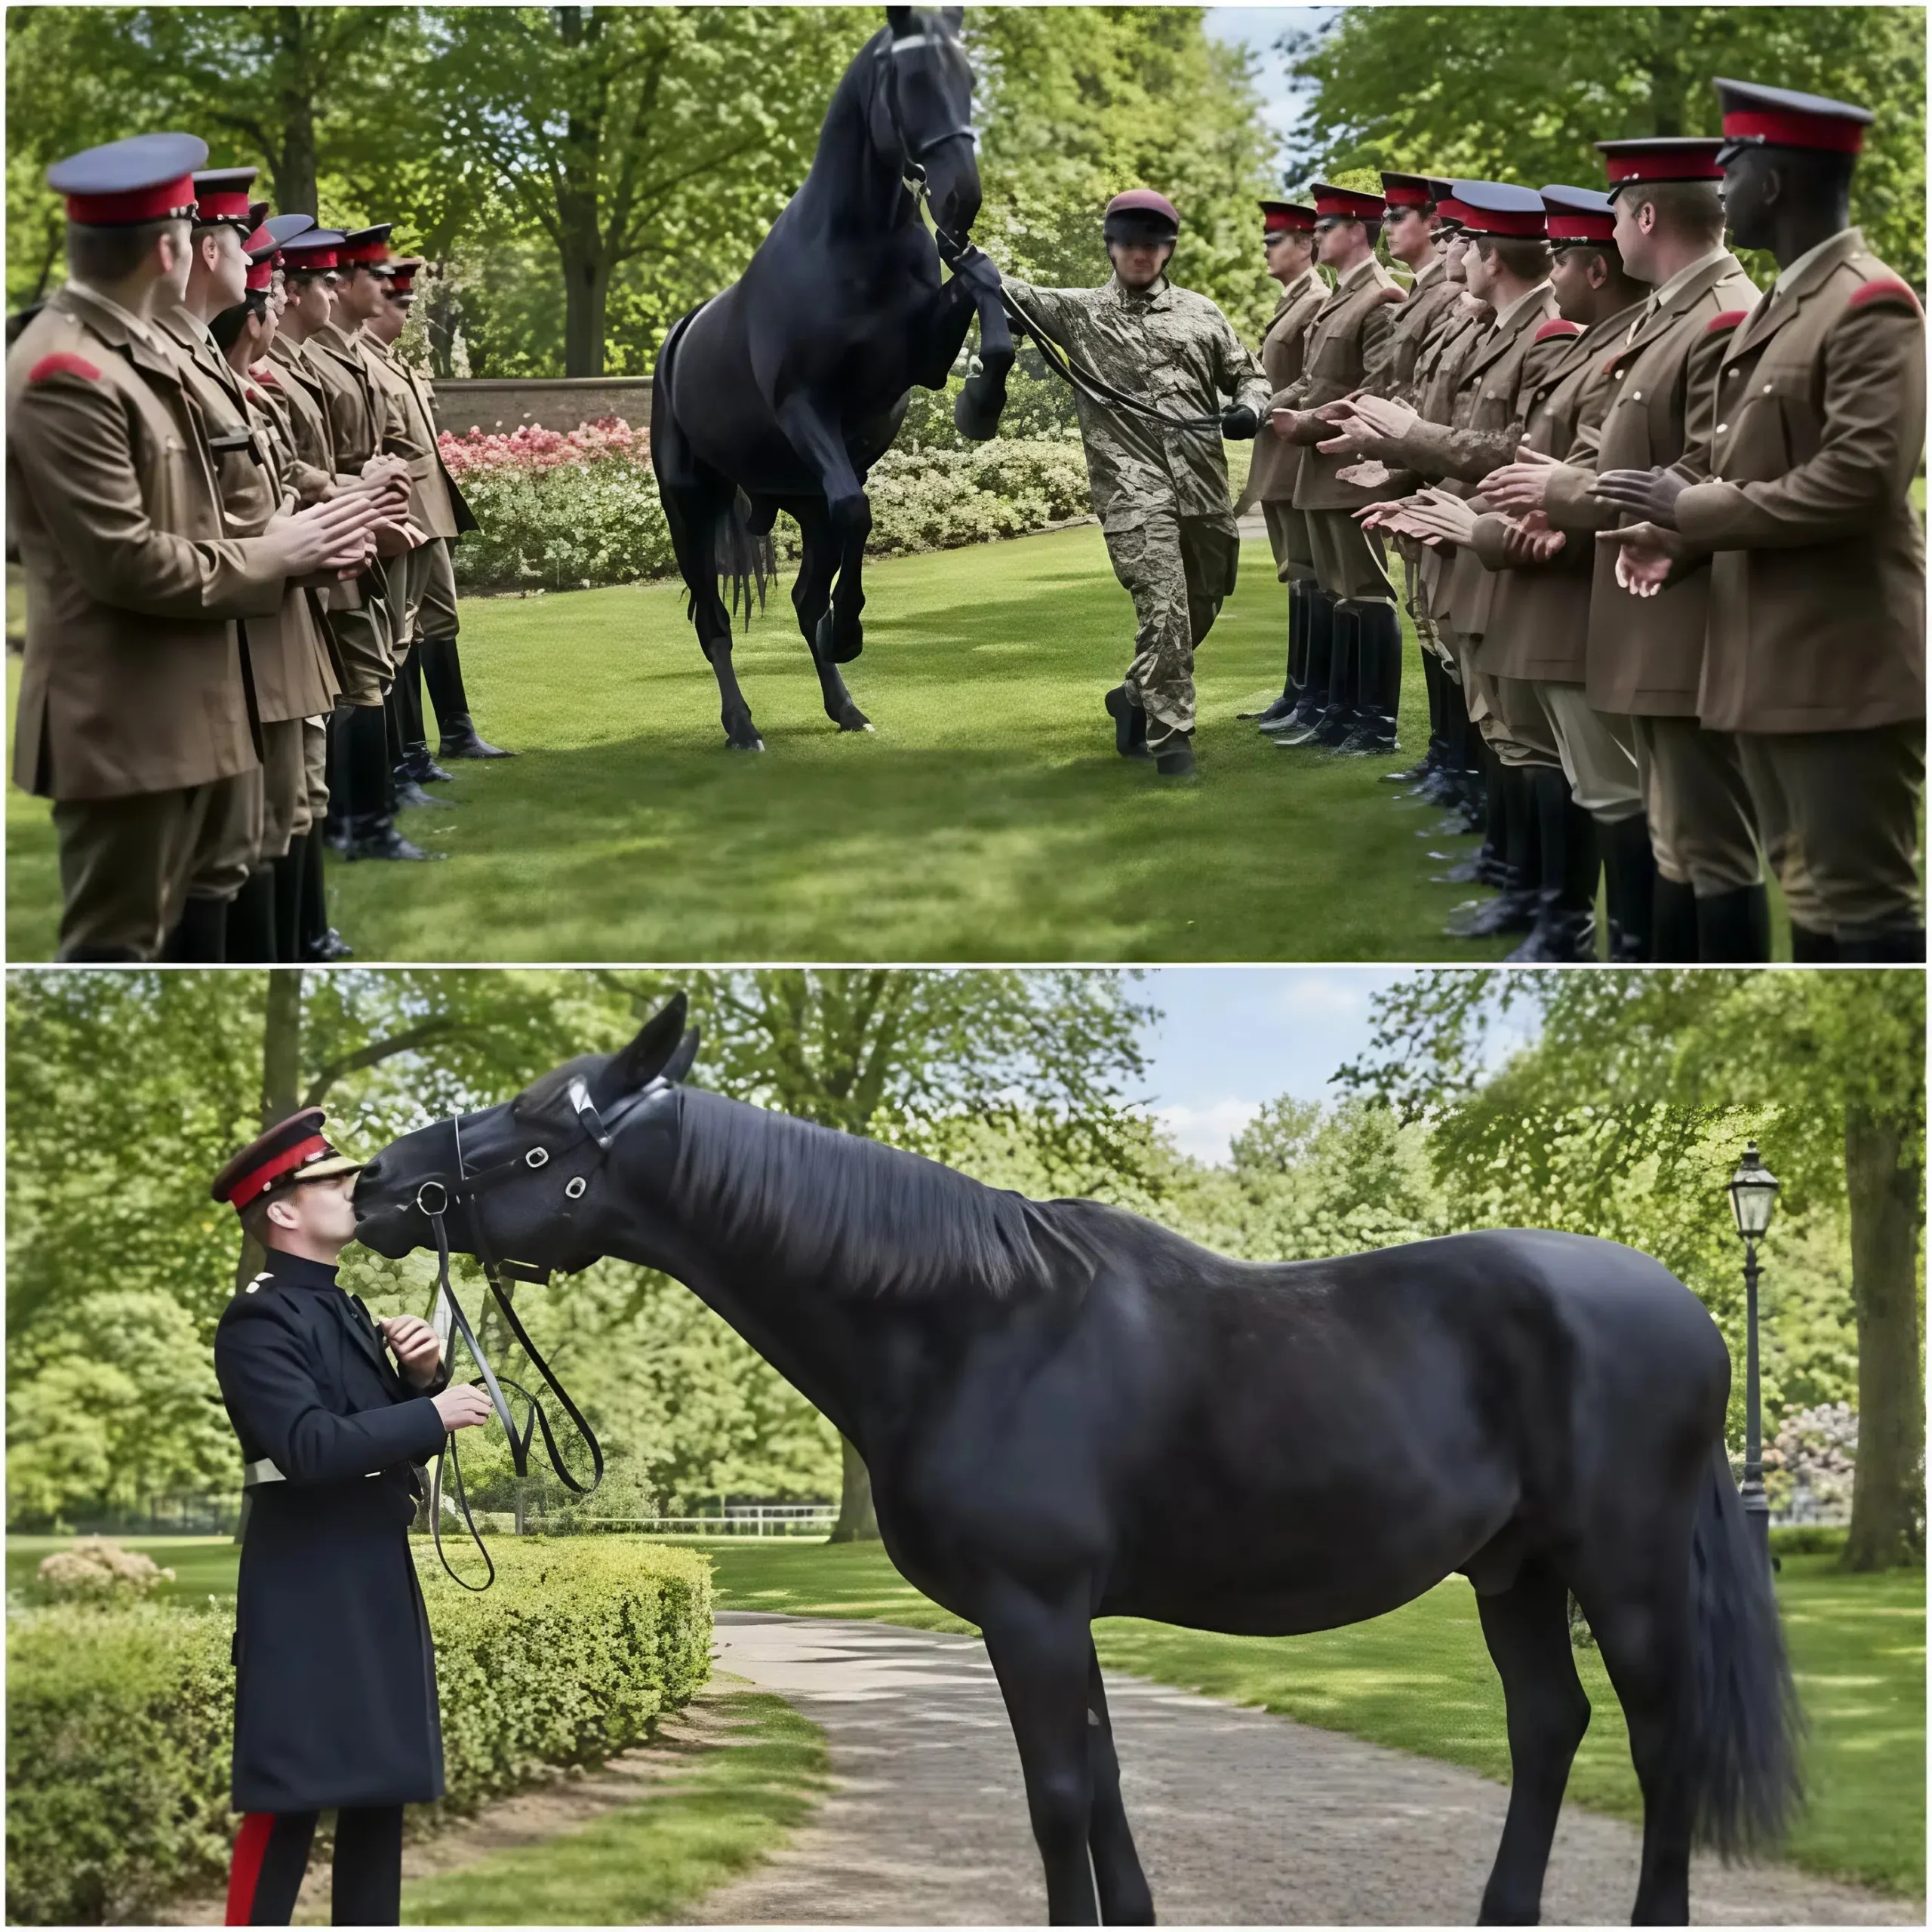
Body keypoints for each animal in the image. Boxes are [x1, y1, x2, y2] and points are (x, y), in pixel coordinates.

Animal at [354, 995, 1802, 1927]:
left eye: (535, 1140)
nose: (374, 1183)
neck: (975, 1327)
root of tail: (1682, 1306)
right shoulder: (1066, 1619)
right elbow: (1104, 1792)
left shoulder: (1033, 1610)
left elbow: (1057, 1798)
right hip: (1514, 1573)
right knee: (1549, 1727)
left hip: (1625, 1569)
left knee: (1661, 1745)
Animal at [650, 6, 1015, 752]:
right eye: (909, 81)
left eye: (968, 79)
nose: (960, 198)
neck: (852, 247)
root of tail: (678, 340)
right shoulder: (805, 407)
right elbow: (858, 510)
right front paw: (848, 631)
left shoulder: (922, 359)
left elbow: (984, 284)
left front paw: (982, 401)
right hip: (690, 508)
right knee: (715, 621)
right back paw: (743, 727)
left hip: (800, 501)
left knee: (801, 596)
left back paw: (847, 707)